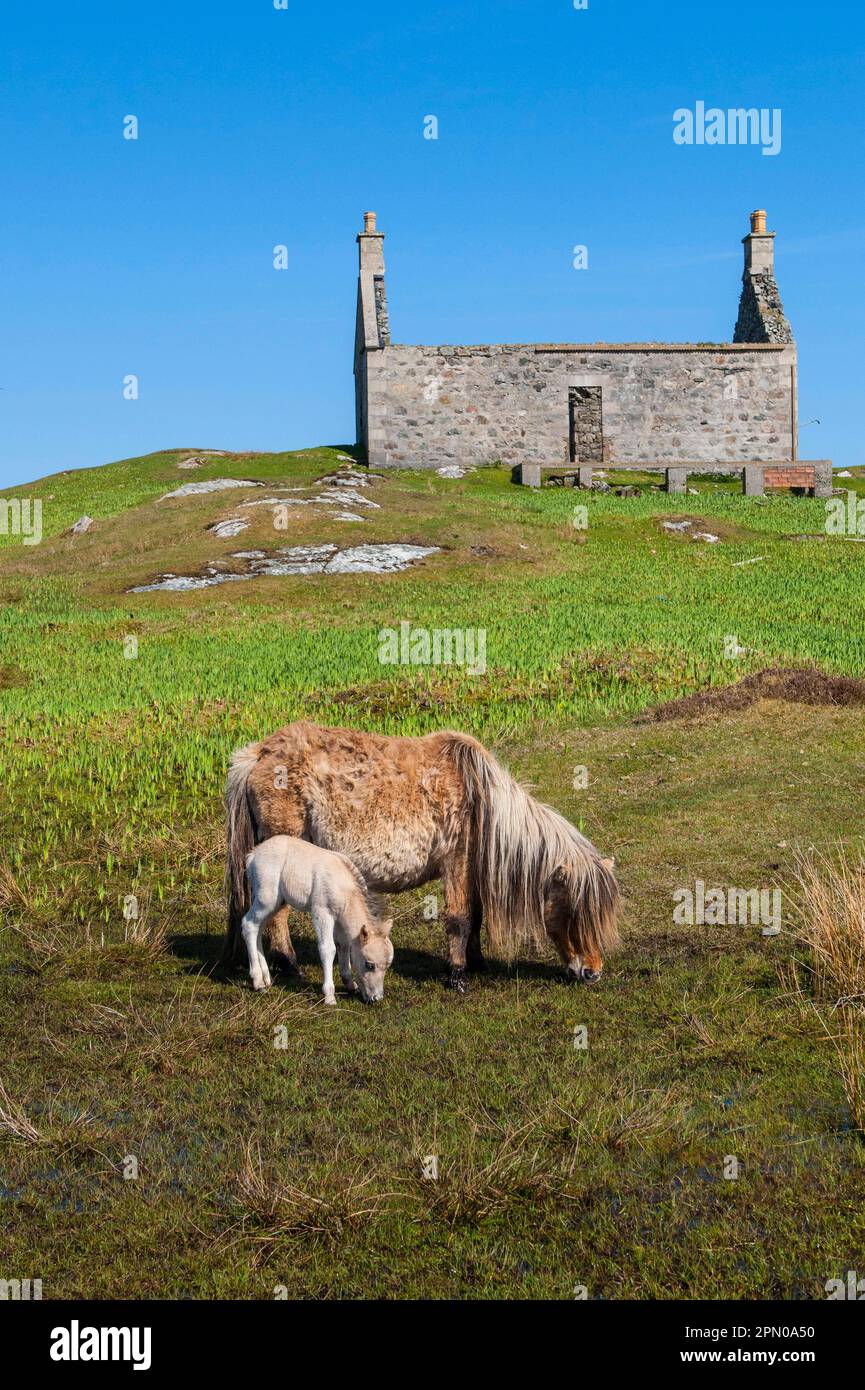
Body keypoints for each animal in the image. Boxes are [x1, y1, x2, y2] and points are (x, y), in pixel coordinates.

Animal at [241, 835, 393, 1004]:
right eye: (369, 965)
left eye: (387, 966)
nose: (376, 998)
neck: (345, 888)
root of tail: (252, 855)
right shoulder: (322, 912)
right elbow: (328, 948)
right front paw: (329, 996)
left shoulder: (340, 918)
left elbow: (344, 945)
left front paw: (350, 984)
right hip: (267, 898)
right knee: (248, 925)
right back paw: (257, 981)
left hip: (277, 902)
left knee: (259, 928)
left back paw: (266, 977)